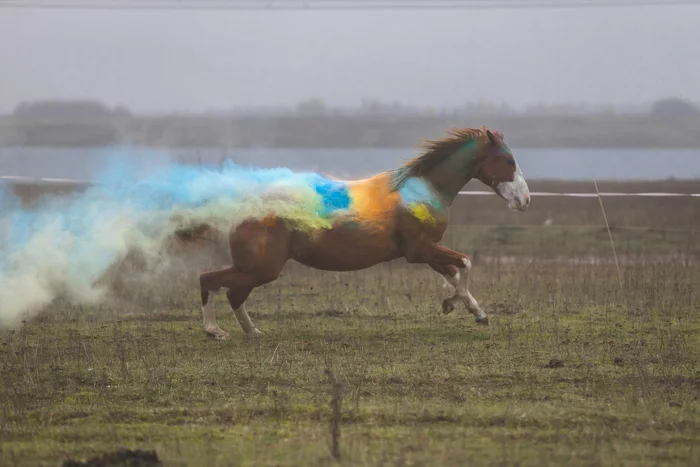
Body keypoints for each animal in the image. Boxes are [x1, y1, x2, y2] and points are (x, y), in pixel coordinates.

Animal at [175, 128, 532, 340]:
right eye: (508, 160)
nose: (525, 200)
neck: (423, 190)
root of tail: (240, 210)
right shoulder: (420, 250)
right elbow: (466, 264)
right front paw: (454, 305)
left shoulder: (427, 250)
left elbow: (455, 273)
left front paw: (473, 312)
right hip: (261, 269)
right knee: (210, 280)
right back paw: (215, 331)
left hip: (257, 269)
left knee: (233, 294)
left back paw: (252, 332)